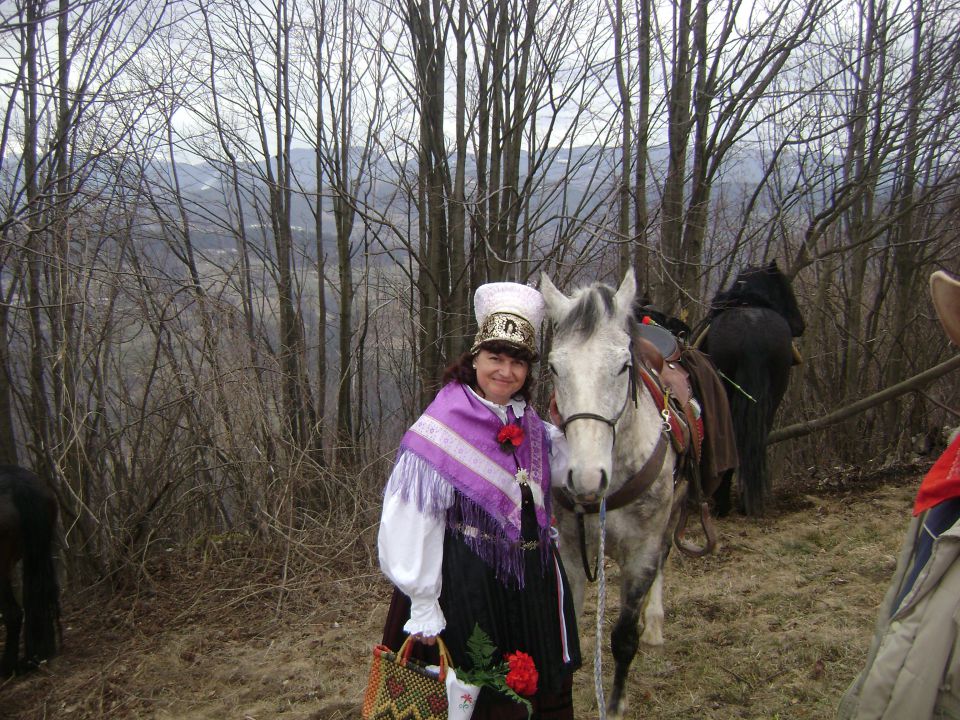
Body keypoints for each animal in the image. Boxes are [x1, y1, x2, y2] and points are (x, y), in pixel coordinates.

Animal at [540, 272, 688, 720]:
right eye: (554, 367)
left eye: (623, 366)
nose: (587, 478)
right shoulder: (570, 552)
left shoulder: (640, 552)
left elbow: (623, 640)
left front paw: (617, 703)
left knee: (665, 554)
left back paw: (654, 622)